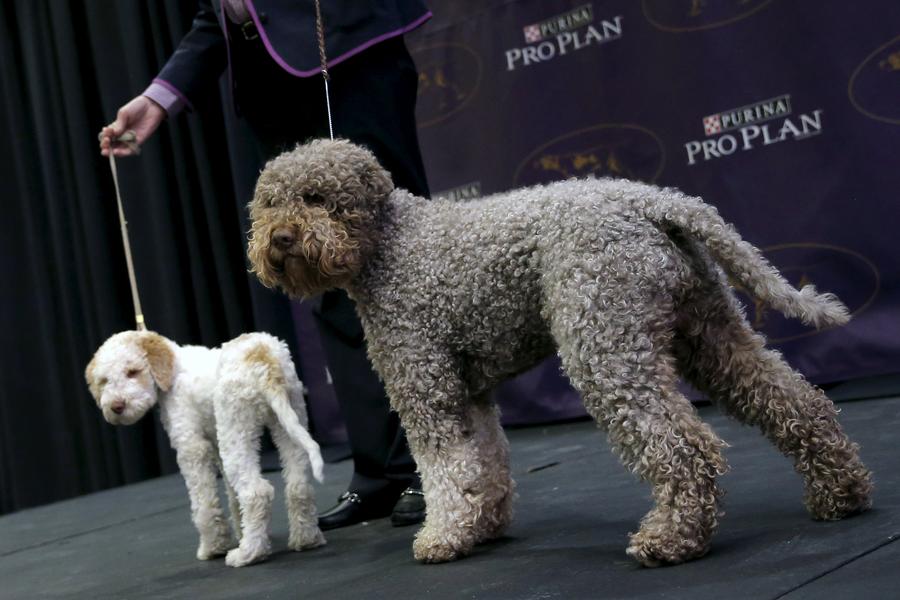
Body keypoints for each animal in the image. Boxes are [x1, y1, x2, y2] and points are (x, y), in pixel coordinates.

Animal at [84, 330, 326, 564]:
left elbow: (204, 505)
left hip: (237, 428)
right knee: (298, 486)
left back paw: (248, 553)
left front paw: (213, 547)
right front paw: (241, 532)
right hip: (288, 419)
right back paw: (305, 538)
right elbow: (232, 496)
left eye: (132, 372)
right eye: (104, 380)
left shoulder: (191, 448)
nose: (116, 406)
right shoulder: (217, 445)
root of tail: (262, 357)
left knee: (256, 493)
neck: (173, 371)